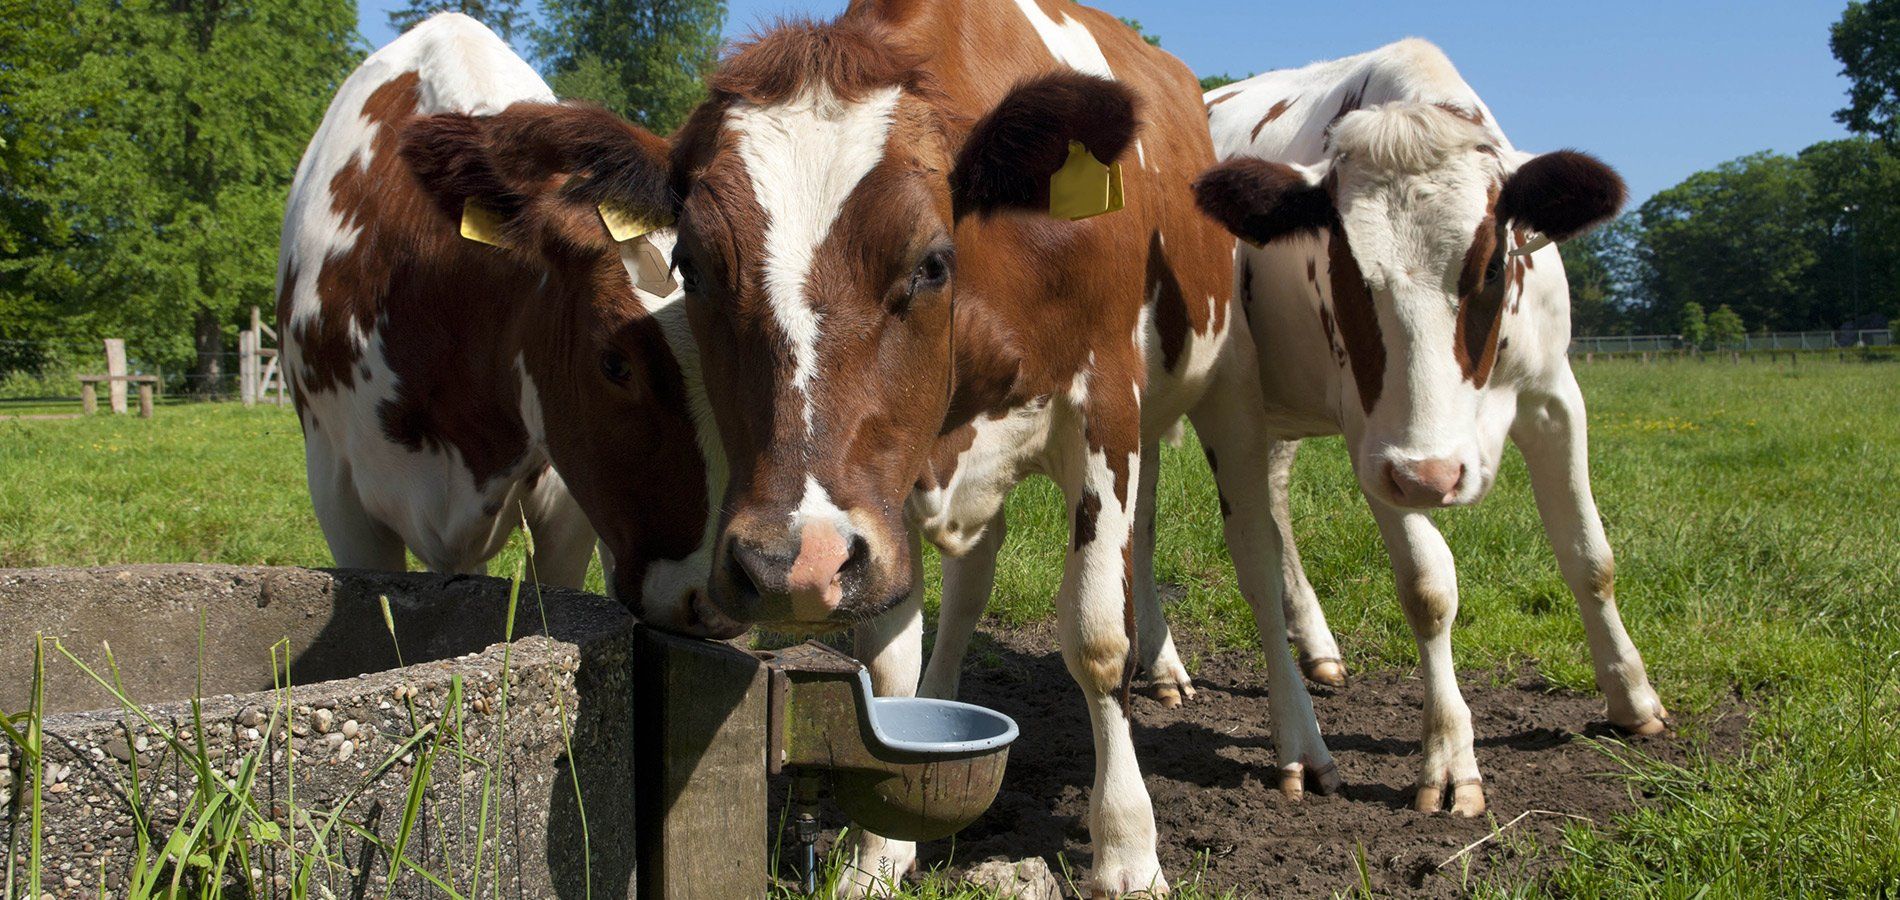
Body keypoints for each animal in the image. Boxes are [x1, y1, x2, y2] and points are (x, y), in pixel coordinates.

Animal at [1193, 40, 1672, 816]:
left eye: (1490, 266)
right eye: (1346, 271)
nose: (1433, 477)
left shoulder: (1554, 396)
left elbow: (1589, 556)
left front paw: (1632, 699)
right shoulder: (1377, 444)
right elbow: (1428, 587)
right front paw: (1449, 758)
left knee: (1262, 505)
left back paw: (1309, 647)